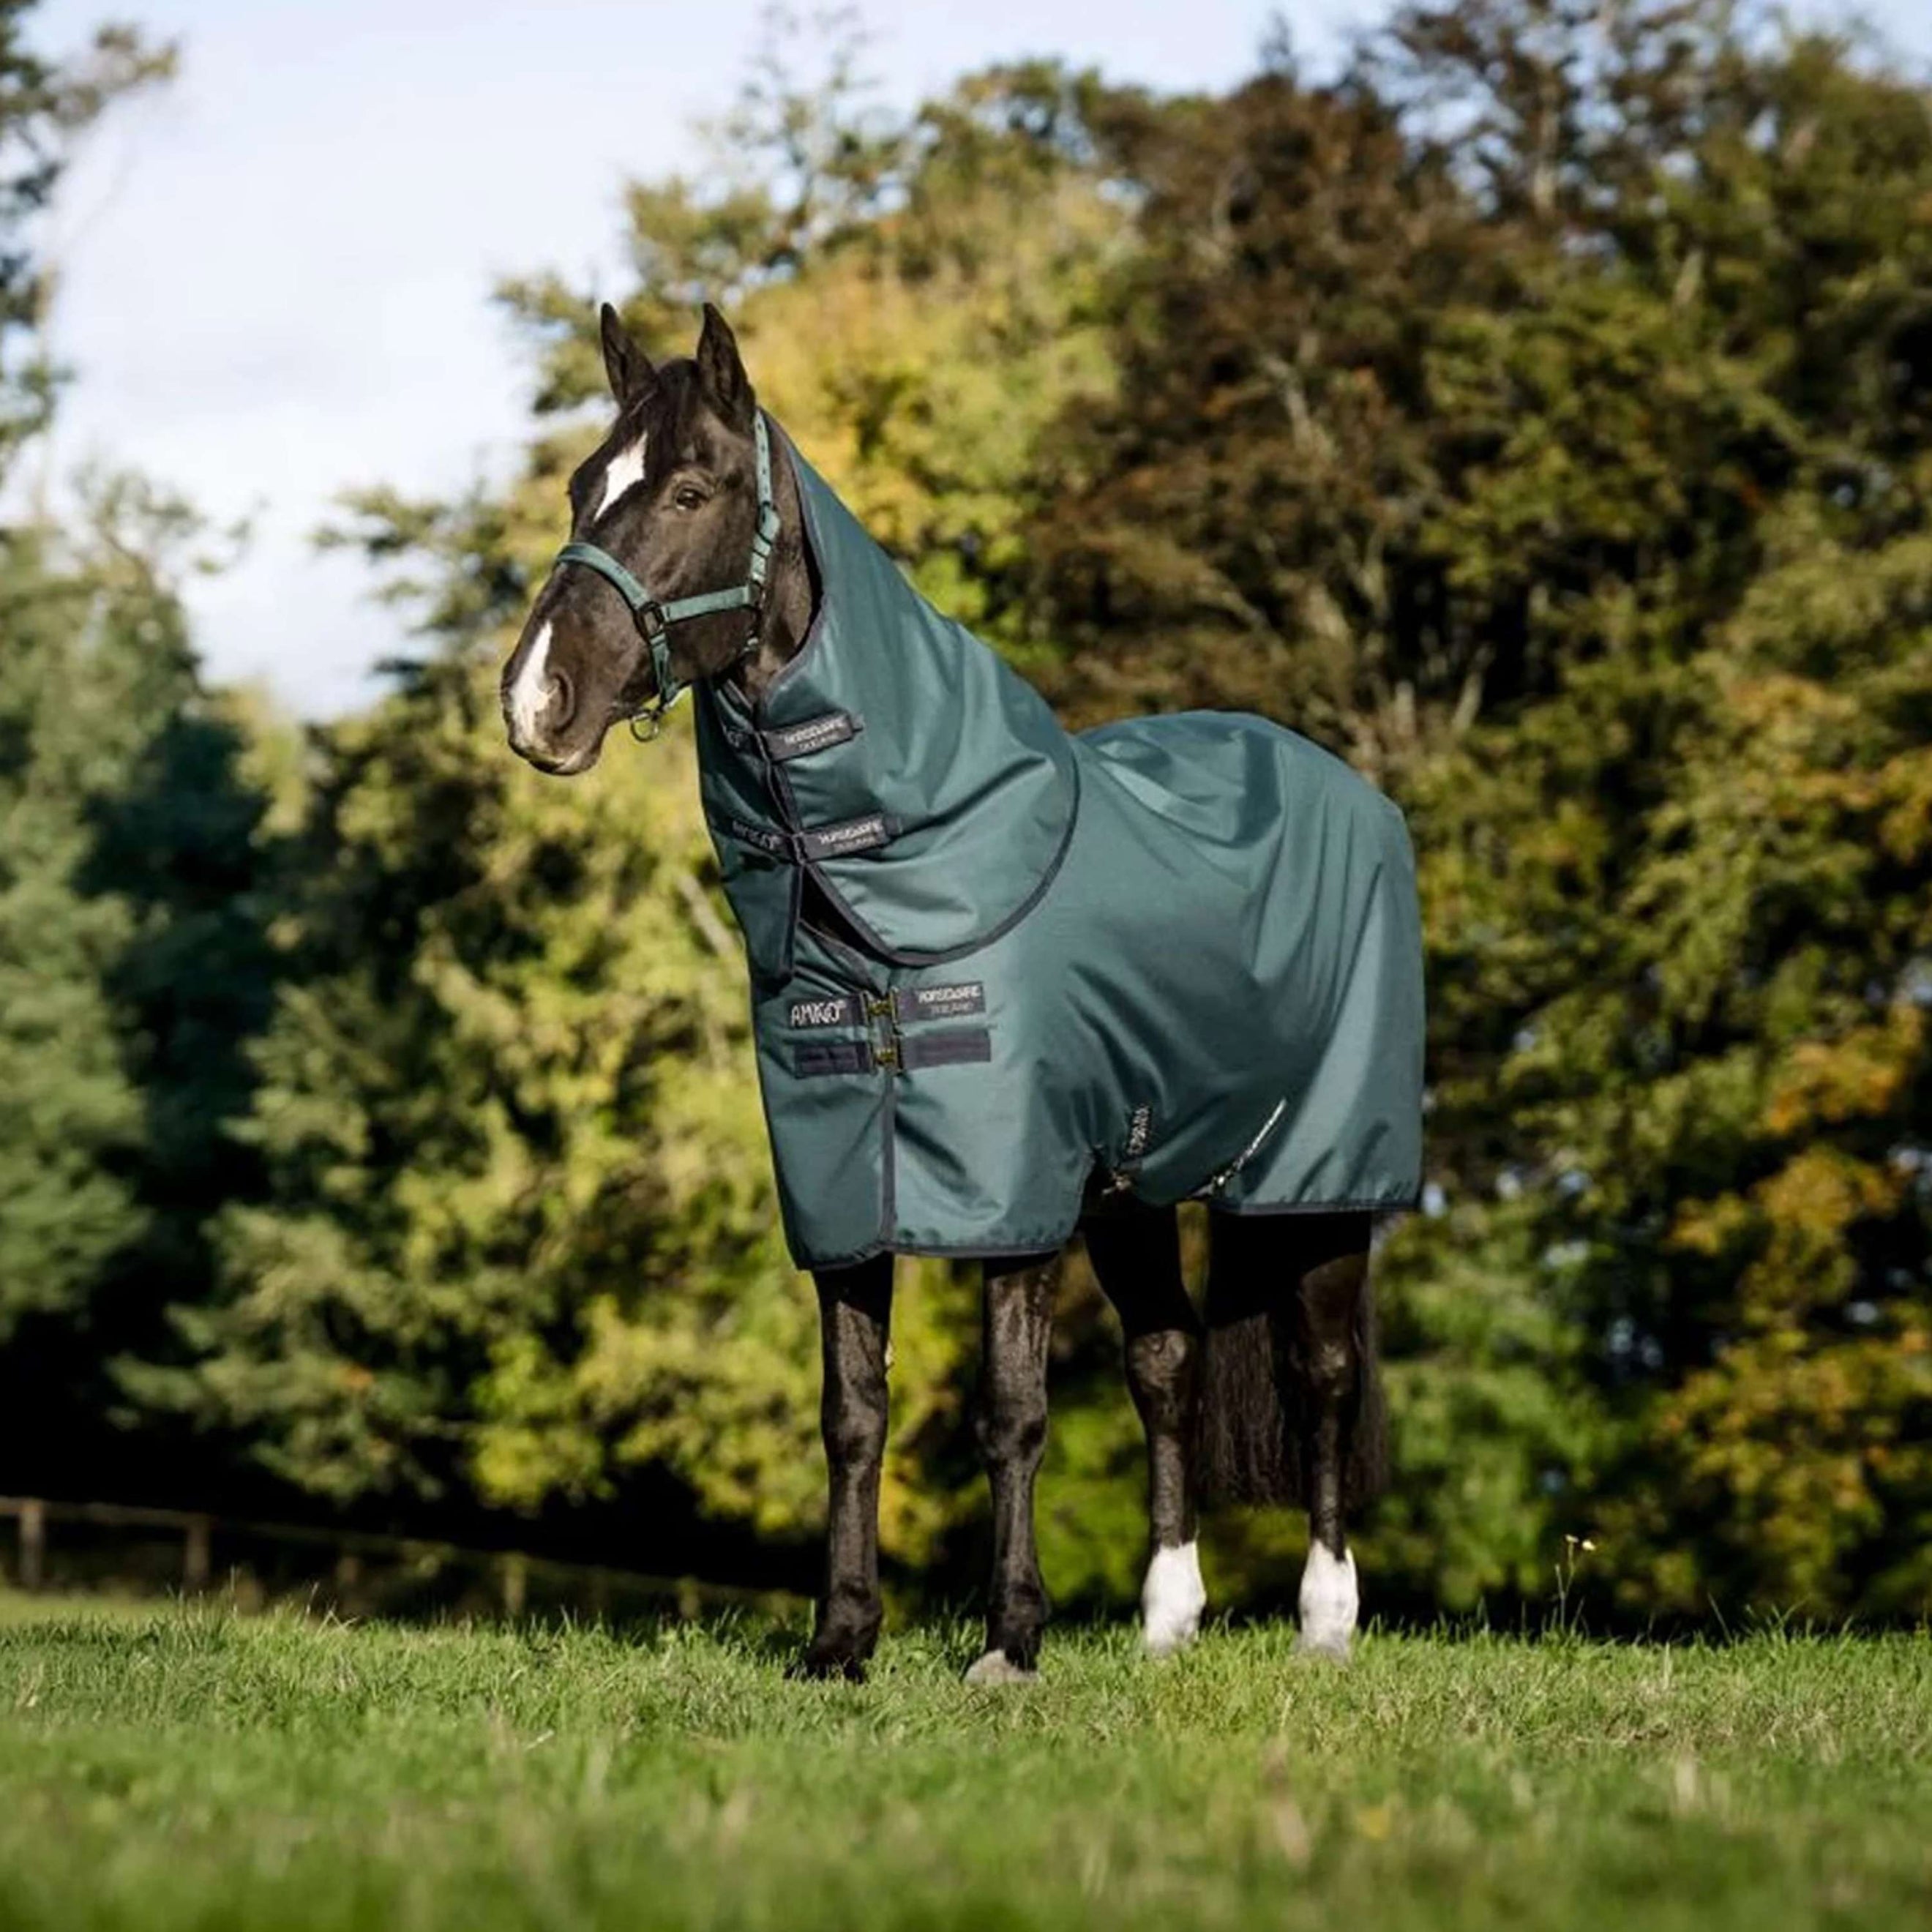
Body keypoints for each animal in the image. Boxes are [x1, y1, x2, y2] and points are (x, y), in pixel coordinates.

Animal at [500, 302, 1423, 1682]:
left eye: (690, 489)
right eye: (579, 488)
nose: (534, 701)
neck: (910, 877)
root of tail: (1348, 790)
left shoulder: (1015, 1200)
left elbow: (1013, 1412)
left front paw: (1009, 1642)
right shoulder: (844, 1192)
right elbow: (852, 1413)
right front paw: (840, 1640)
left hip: (1317, 1182)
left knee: (1318, 1373)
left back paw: (1325, 1623)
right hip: (1136, 1188)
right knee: (1168, 1364)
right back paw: (1167, 1623)